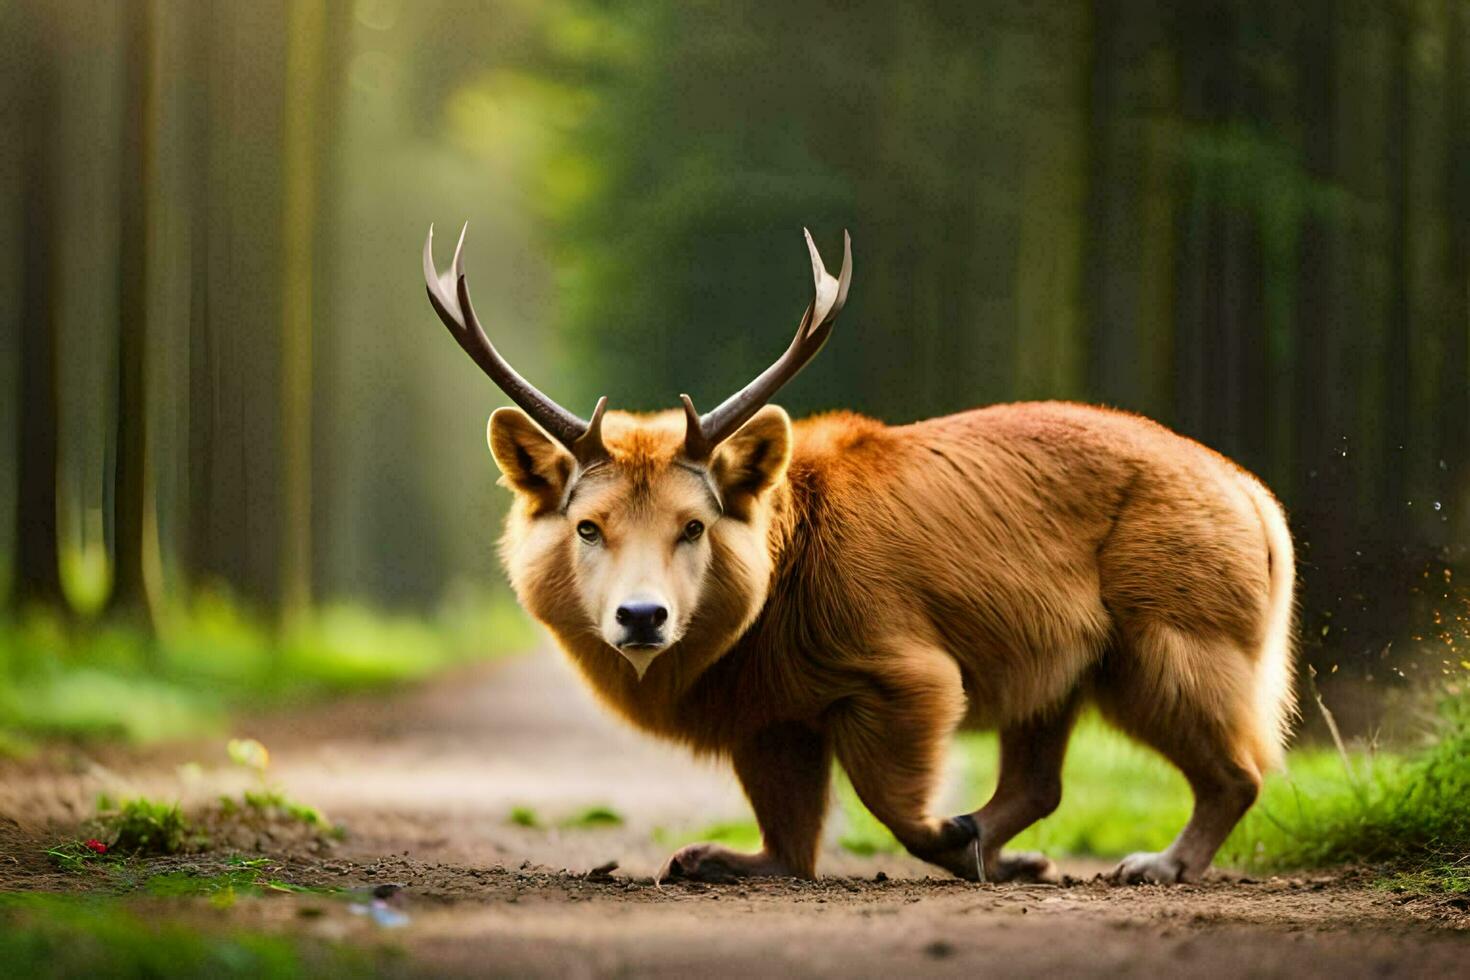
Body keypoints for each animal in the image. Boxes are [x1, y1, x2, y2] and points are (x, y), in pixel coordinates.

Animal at [420, 224, 1293, 887]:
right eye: (588, 526)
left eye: (692, 525)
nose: (641, 617)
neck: (773, 597)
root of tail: (1259, 503)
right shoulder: (772, 717)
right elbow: (788, 838)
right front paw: (719, 856)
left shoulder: (904, 670)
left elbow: (892, 802)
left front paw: (964, 842)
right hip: (1064, 672)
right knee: (1041, 779)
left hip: (1171, 638)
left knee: (1240, 767)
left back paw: (1158, 863)